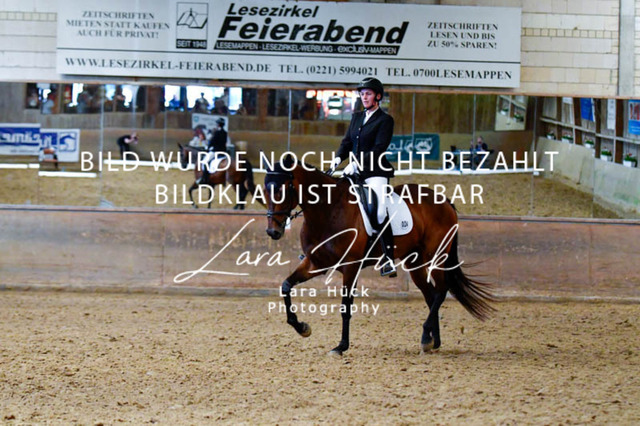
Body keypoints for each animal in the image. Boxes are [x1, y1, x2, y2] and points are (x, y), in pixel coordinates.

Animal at [264, 155, 494, 355]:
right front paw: (302, 327)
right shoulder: (316, 263)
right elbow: (286, 286)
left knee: (441, 291)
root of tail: (444, 201)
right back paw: (432, 341)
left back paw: (426, 337)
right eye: (265, 191)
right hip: (415, 262)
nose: (273, 232)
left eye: (282, 189)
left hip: (436, 255)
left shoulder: (351, 266)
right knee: (430, 294)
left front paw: (341, 346)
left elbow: (346, 306)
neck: (328, 210)